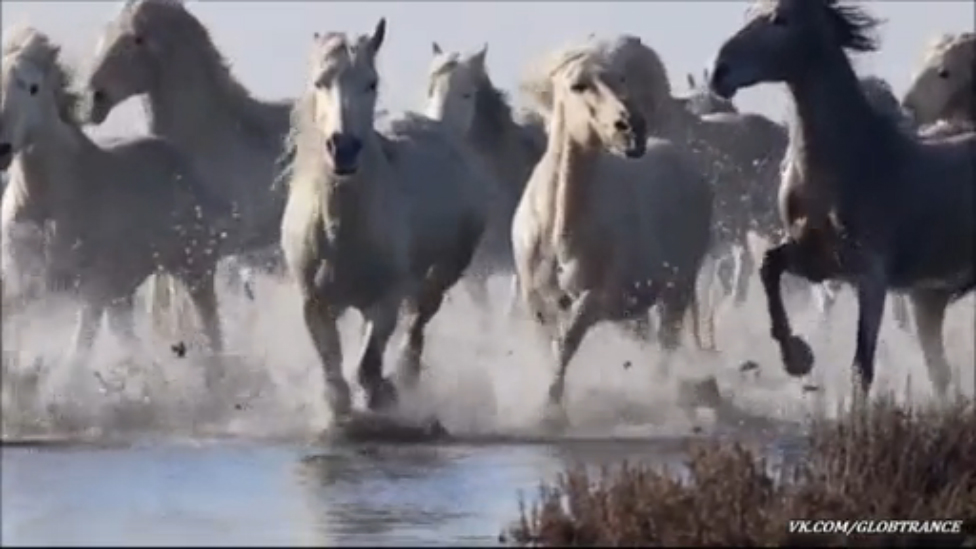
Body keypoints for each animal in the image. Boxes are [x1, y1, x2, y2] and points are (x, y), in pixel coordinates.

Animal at [0, 26, 228, 371]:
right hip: (124, 290)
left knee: (211, 329)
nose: (0, 147)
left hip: (193, 269)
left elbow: (76, 358)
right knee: (129, 339)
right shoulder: (24, 283)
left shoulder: (93, 290)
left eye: (32, 88)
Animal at [281, 19, 491, 423]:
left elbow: (367, 367)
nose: (343, 148)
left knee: (418, 324)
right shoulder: (313, 304)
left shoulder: (386, 301)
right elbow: (335, 380)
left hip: (443, 273)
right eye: (320, 82)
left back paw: (406, 378)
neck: (339, 228)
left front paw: (385, 396)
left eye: (371, 82)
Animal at [514, 41, 714, 430]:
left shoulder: (593, 299)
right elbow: (549, 347)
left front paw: (551, 410)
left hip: (678, 288)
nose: (632, 128)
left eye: (620, 79)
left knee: (667, 342)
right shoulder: (535, 301)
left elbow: (565, 343)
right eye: (578, 85)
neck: (557, 229)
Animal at [709, 0, 975, 398]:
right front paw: (797, 357)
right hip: (930, 296)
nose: (719, 73)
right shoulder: (819, 261)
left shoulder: (871, 277)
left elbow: (861, 366)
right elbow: (770, 266)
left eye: (780, 18)